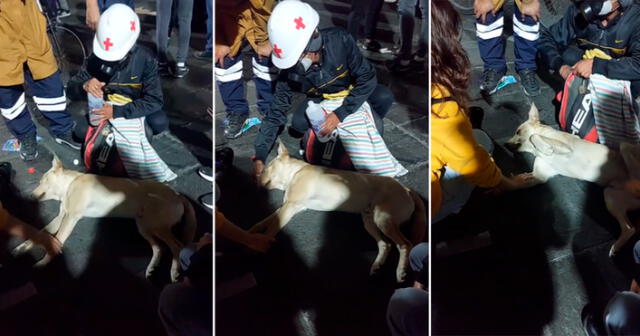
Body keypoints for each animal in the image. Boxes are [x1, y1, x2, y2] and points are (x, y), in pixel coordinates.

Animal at [12, 157, 196, 280]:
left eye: (42, 181)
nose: (29, 196)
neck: (71, 184)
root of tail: (178, 195)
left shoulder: (70, 218)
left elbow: (57, 240)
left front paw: (44, 262)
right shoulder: (61, 217)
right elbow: (39, 234)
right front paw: (22, 248)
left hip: (158, 227)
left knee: (177, 246)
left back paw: (174, 271)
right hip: (145, 227)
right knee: (159, 248)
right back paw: (152, 268)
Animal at [249, 140, 424, 282]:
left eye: (267, 168)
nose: (255, 180)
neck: (296, 172)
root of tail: (407, 189)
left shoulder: (290, 206)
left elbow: (271, 228)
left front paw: (259, 245)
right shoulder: (287, 207)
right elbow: (264, 222)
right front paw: (252, 233)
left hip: (383, 219)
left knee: (404, 244)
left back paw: (400, 271)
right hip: (370, 221)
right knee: (385, 244)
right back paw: (377, 265)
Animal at [504, 104, 640, 255]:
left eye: (518, 131)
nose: (504, 144)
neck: (535, 150)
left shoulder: (565, 147)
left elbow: (534, 136)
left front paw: (546, 148)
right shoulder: (540, 176)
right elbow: (518, 183)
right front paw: (506, 183)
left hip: (625, 147)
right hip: (610, 196)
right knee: (630, 229)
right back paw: (616, 246)